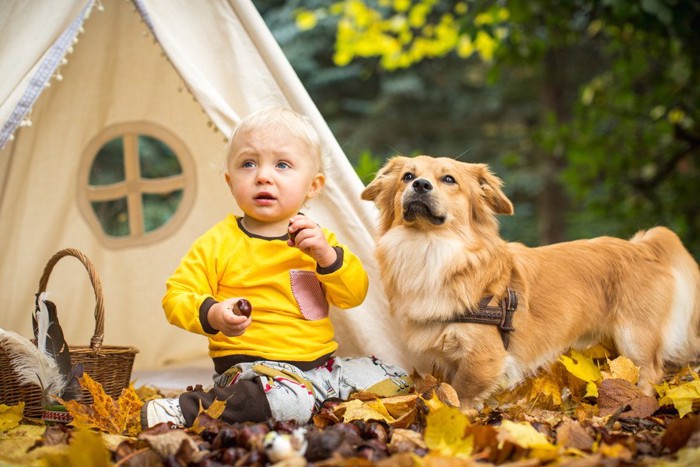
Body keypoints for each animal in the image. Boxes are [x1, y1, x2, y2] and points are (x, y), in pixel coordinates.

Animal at [360, 155, 700, 408]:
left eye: (448, 180)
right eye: (407, 177)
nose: (420, 185)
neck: (431, 249)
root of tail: (643, 245)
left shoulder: (483, 357)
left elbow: (460, 393)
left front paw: (458, 418)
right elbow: (448, 387)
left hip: (635, 335)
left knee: (650, 370)